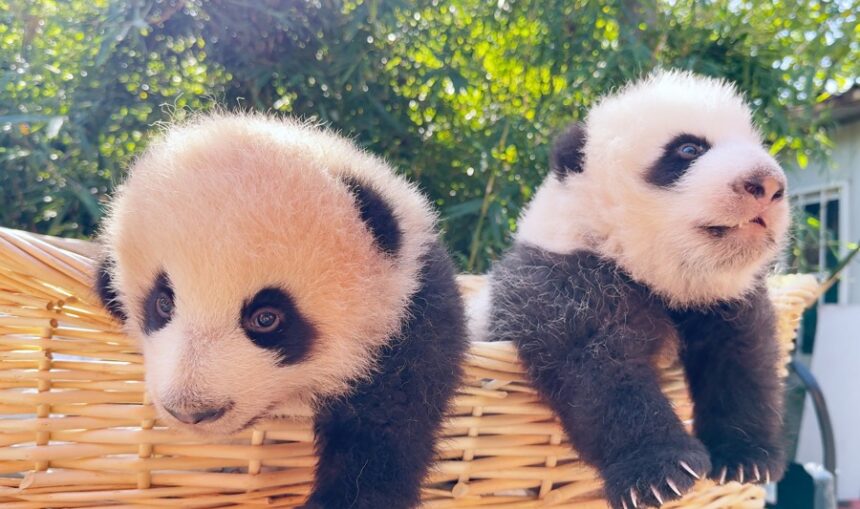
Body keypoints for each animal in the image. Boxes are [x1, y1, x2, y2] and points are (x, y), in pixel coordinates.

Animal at [482, 71, 790, 508]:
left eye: (756, 144)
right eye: (689, 149)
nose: (767, 184)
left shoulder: (722, 297)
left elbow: (741, 356)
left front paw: (747, 458)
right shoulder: (558, 279)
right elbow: (598, 364)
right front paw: (661, 472)